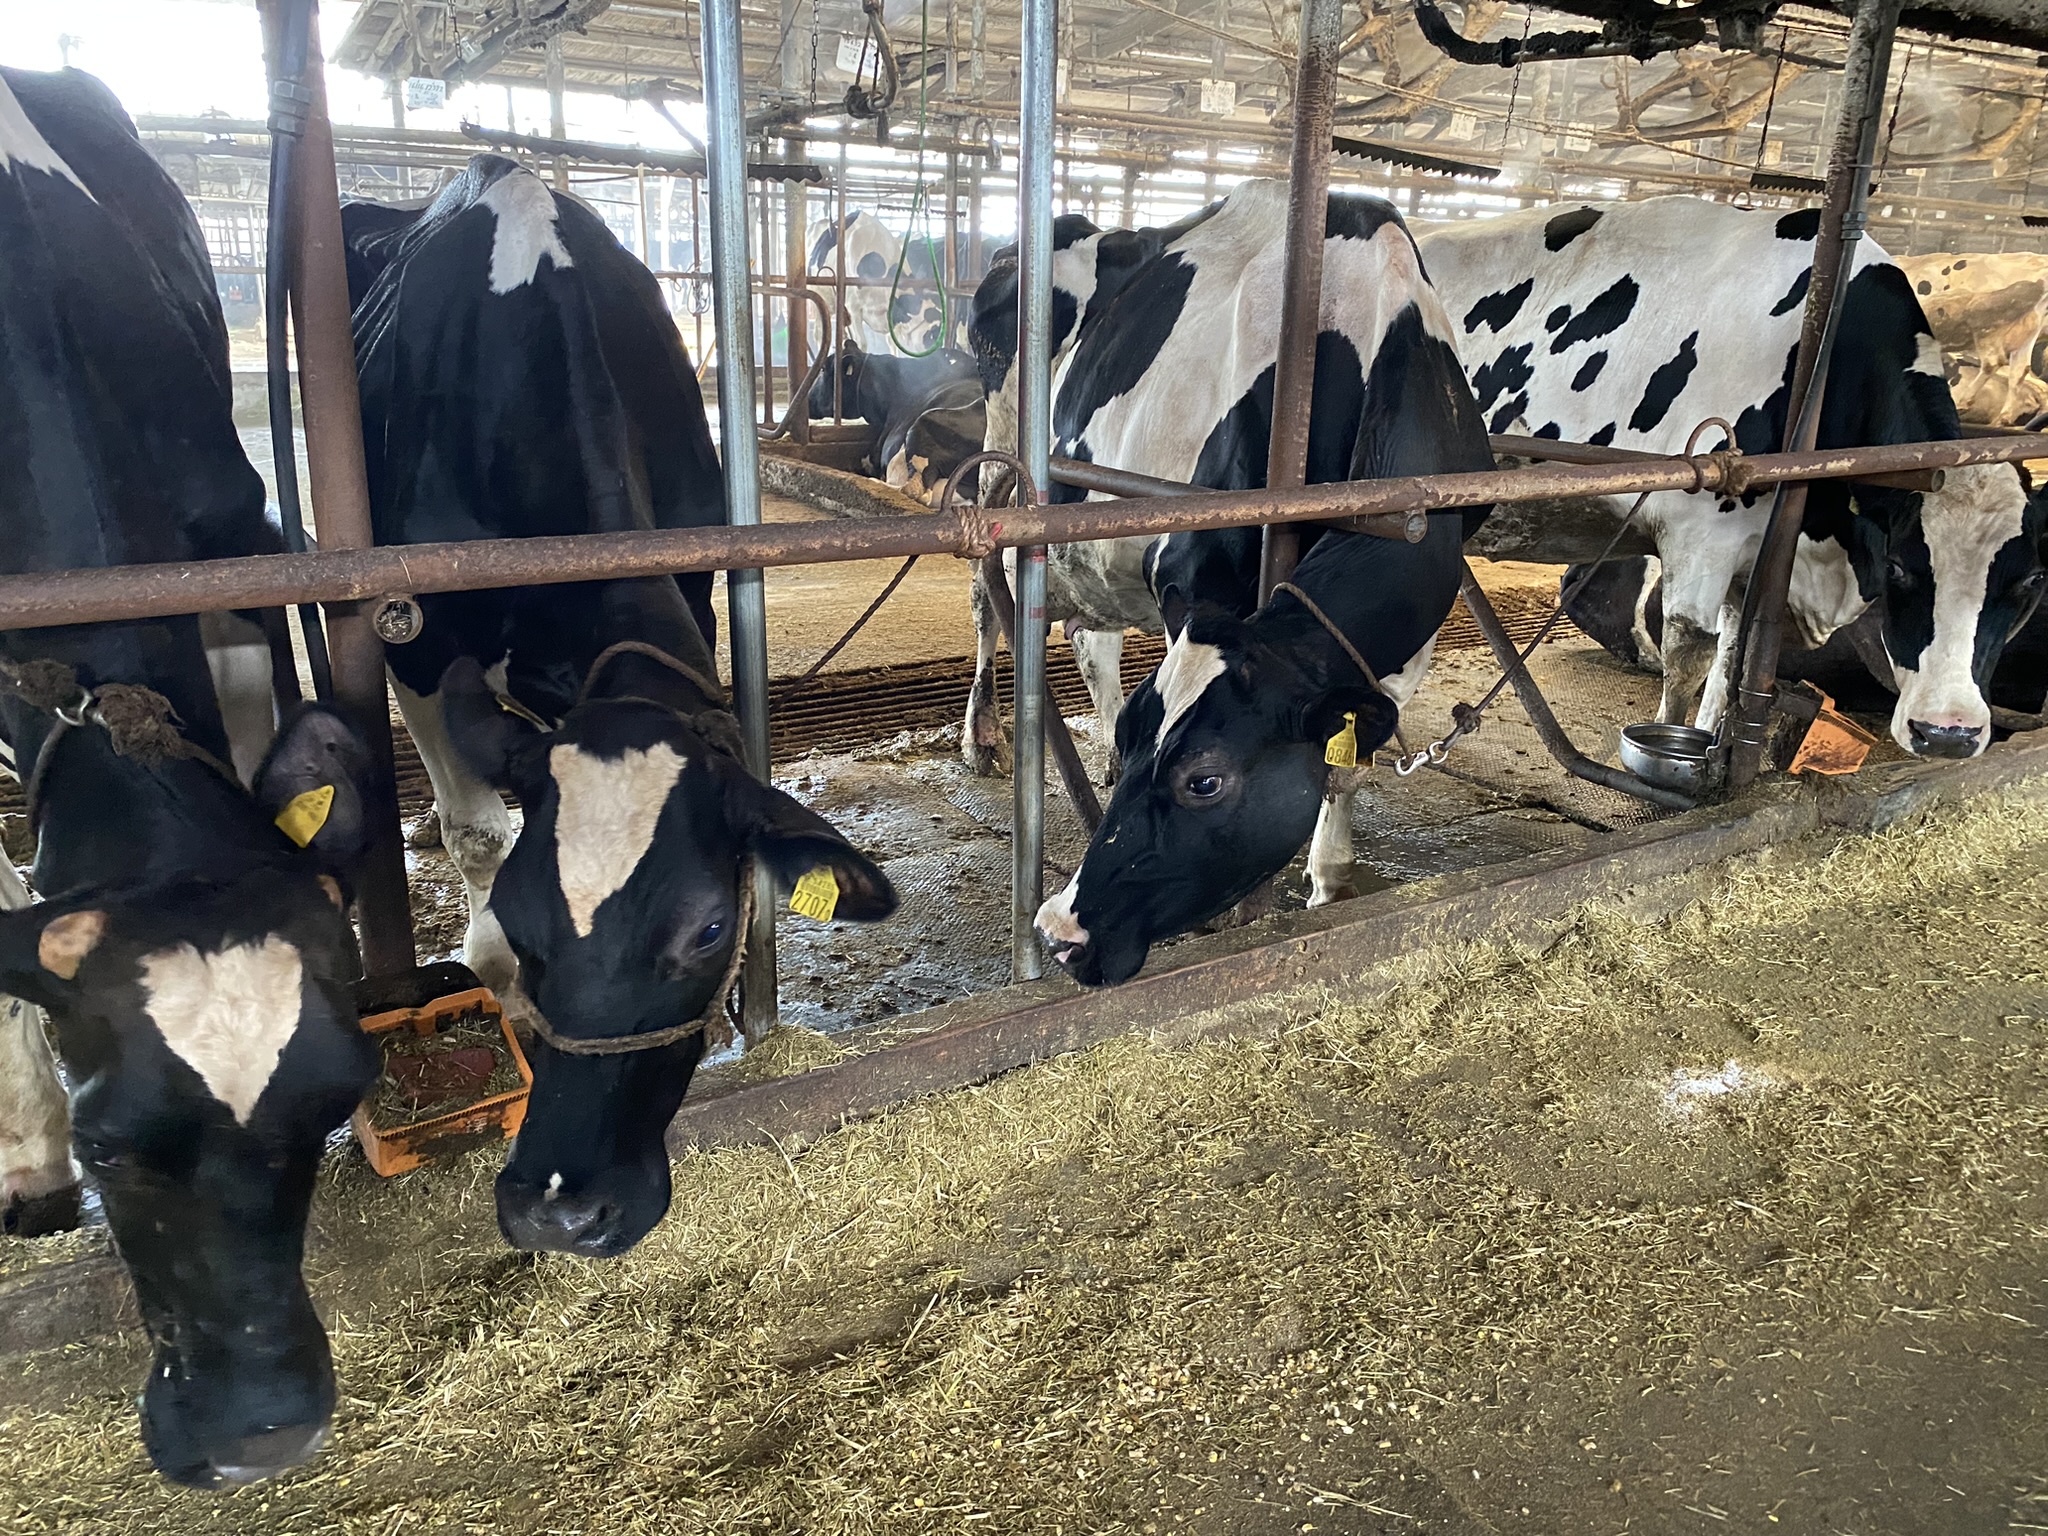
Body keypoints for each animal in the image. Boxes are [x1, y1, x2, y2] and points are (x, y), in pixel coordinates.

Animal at [343, 156, 898, 1260]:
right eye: (524, 920)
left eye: (709, 928)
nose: (560, 1209)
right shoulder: (414, 635)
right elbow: (479, 829)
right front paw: (487, 964)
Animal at [1005, 180, 1493, 985]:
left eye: (1204, 781)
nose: (1058, 933)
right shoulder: (1196, 575)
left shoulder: (1403, 634)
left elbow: (1349, 759)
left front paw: (1329, 879)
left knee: (1091, 642)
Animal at [1419, 197, 2047, 759]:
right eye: (1898, 565)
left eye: (2033, 581)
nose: (1947, 733)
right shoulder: (1700, 531)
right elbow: (1689, 654)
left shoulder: (1756, 558)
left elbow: (1731, 662)